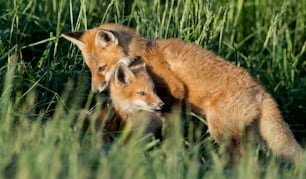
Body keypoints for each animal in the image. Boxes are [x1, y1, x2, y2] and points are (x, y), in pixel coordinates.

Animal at [61, 23, 302, 161]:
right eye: (91, 69)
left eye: (102, 68)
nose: (95, 90)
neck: (143, 53)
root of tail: (264, 94)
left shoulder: (174, 91)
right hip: (247, 135)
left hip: (221, 131)